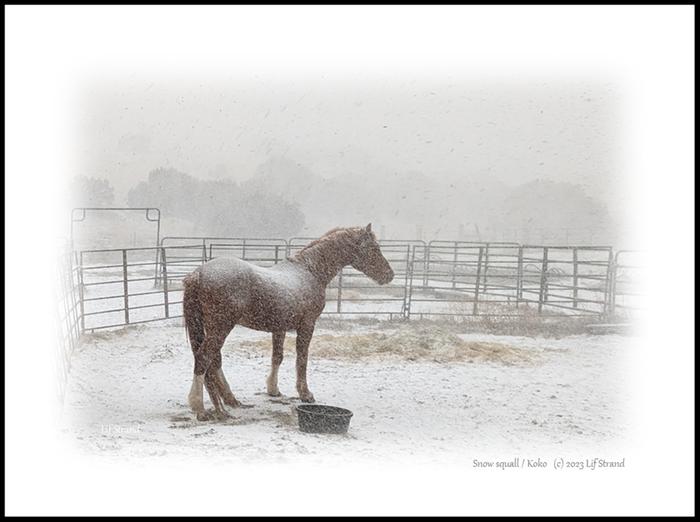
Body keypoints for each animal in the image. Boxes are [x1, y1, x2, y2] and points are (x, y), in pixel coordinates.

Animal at [183, 222, 396, 418]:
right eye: (374, 248)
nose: (390, 275)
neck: (310, 271)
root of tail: (198, 273)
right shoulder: (307, 325)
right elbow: (302, 359)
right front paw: (305, 394)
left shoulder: (280, 328)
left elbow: (277, 356)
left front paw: (273, 390)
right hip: (221, 327)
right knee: (204, 358)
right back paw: (199, 407)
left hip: (215, 328)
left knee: (214, 360)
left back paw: (230, 400)